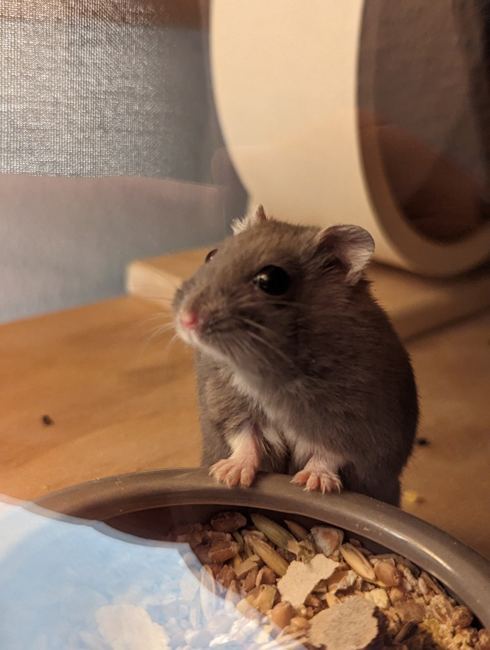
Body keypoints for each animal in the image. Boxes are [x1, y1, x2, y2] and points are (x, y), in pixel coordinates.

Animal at [173, 206, 418, 505]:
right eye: (211, 255)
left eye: (271, 280)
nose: (186, 320)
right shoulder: (230, 403)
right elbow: (245, 439)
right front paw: (229, 476)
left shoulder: (354, 423)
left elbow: (329, 454)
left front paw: (313, 484)